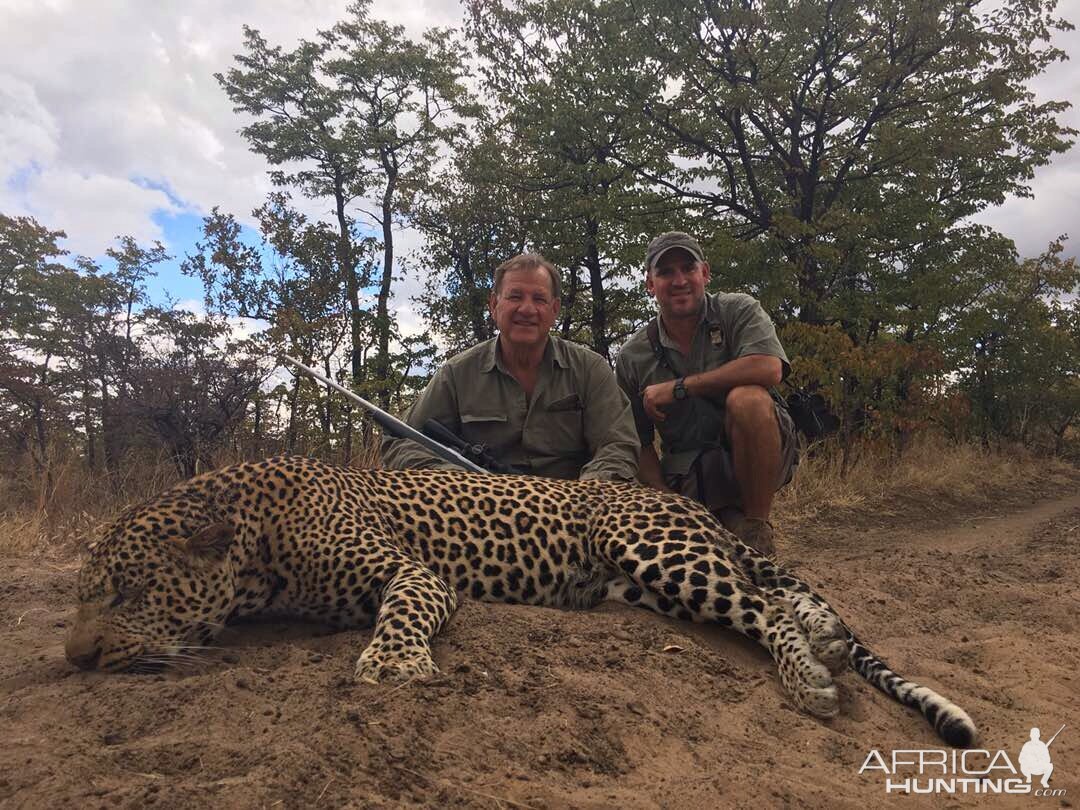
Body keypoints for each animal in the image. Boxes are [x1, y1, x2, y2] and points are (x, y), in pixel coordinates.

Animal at [67, 457, 980, 747]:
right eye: (79, 598)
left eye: (130, 589)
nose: (76, 657)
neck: (254, 536)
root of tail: (684, 503)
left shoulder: (415, 577)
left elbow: (400, 615)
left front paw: (392, 664)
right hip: (648, 586)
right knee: (776, 595)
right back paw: (827, 645)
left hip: (654, 549)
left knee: (768, 608)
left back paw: (810, 677)